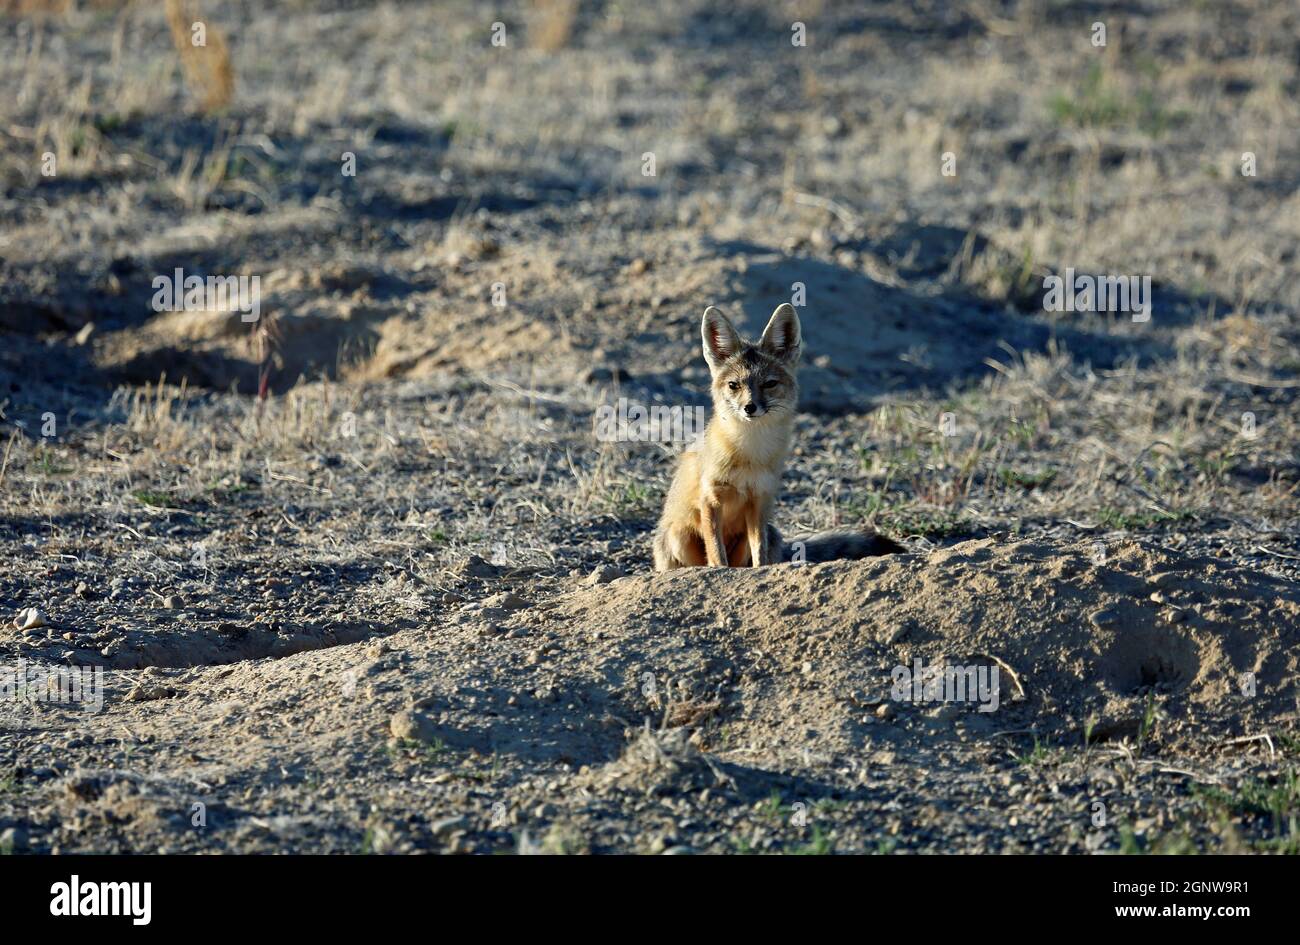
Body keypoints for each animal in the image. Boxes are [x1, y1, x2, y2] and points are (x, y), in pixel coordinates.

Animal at [652, 303, 905, 571]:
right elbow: (716, 554)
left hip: (769, 532)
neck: (749, 452)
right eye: (734, 385)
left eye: (769, 384)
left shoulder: (759, 502)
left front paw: (758, 572)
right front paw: (720, 571)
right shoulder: (711, 500)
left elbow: (759, 555)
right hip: (679, 536)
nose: (749, 407)